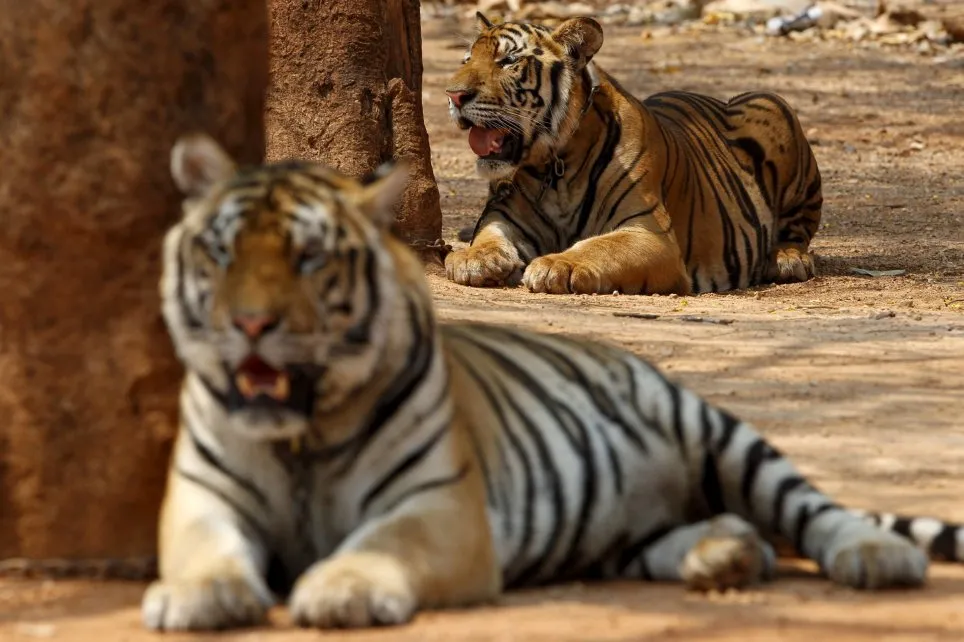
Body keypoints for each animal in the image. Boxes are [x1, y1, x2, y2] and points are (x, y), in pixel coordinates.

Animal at [143, 132, 961, 632]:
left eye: (310, 257)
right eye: (220, 252)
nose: (251, 324)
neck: (300, 435)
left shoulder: (442, 509)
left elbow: (384, 543)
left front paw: (341, 587)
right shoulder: (202, 497)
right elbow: (203, 551)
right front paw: (192, 596)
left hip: (721, 437)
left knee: (816, 510)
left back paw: (875, 557)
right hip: (621, 524)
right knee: (697, 533)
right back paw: (724, 553)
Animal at [444, 14, 823, 295]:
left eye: (508, 61)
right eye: (467, 59)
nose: (454, 94)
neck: (554, 166)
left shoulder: (649, 234)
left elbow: (599, 247)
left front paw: (557, 264)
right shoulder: (506, 214)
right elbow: (487, 235)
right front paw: (471, 258)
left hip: (772, 104)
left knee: (800, 229)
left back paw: (787, 259)